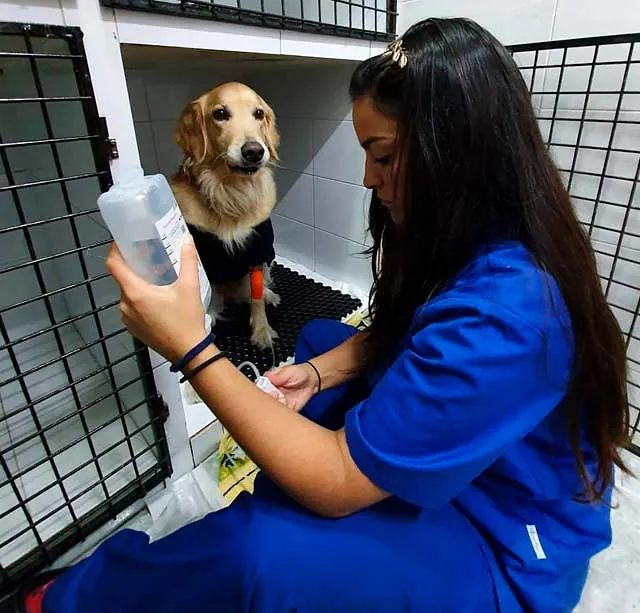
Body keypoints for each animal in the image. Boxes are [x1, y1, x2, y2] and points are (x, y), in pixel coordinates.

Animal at [170, 81, 280, 350]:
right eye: (220, 114)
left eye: (258, 114)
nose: (254, 151)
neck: (231, 193)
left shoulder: (257, 249)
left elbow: (256, 296)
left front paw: (262, 330)